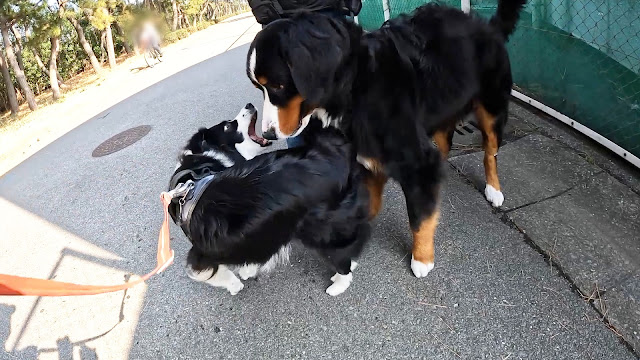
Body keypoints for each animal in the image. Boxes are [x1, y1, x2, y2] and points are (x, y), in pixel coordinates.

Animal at [248, 0, 528, 278]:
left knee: (490, 151)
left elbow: (418, 217)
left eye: (278, 86)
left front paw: (422, 258)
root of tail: (488, 26)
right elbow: (371, 199)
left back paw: (493, 190)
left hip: (491, 110)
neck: (356, 85)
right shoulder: (368, 154)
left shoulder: (416, 159)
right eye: (260, 87)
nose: (268, 134)